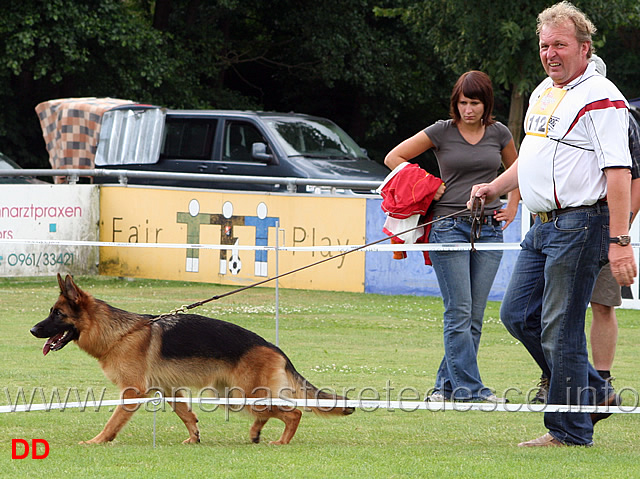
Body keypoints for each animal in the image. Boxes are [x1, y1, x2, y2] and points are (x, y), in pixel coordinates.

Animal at [31, 278, 356, 446]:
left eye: (57, 314)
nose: (33, 330)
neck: (119, 332)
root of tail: (275, 348)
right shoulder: (168, 389)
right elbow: (186, 414)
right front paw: (194, 437)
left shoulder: (132, 392)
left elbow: (113, 422)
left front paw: (97, 441)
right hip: (232, 396)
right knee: (270, 413)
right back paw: (255, 433)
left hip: (243, 395)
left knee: (293, 413)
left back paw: (280, 441)